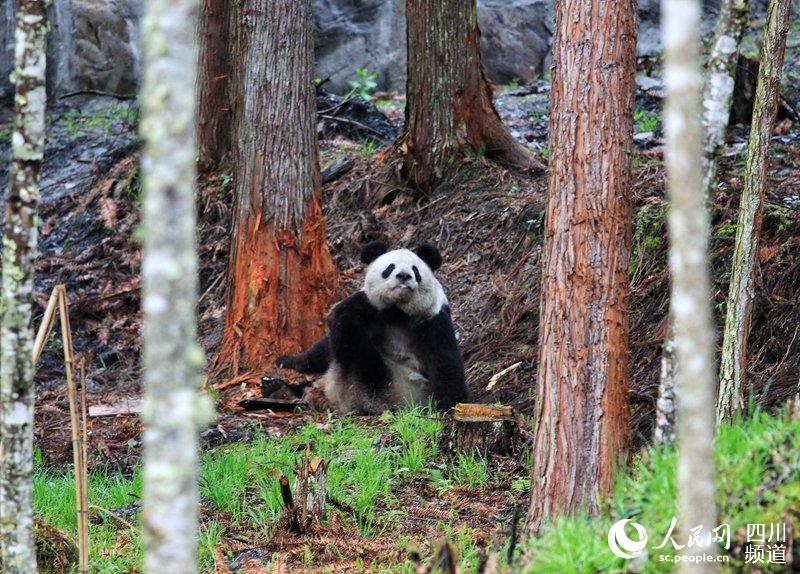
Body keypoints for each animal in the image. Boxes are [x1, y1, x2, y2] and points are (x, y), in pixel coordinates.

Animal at [276, 242, 468, 414]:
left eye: (415, 270)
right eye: (390, 267)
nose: (404, 276)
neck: (397, 311)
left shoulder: (431, 321)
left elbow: (444, 363)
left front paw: (449, 406)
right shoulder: (374, 315)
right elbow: (324, 348)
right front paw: (287, 361)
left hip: (392, 386)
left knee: (361, 357)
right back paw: (282, 389)